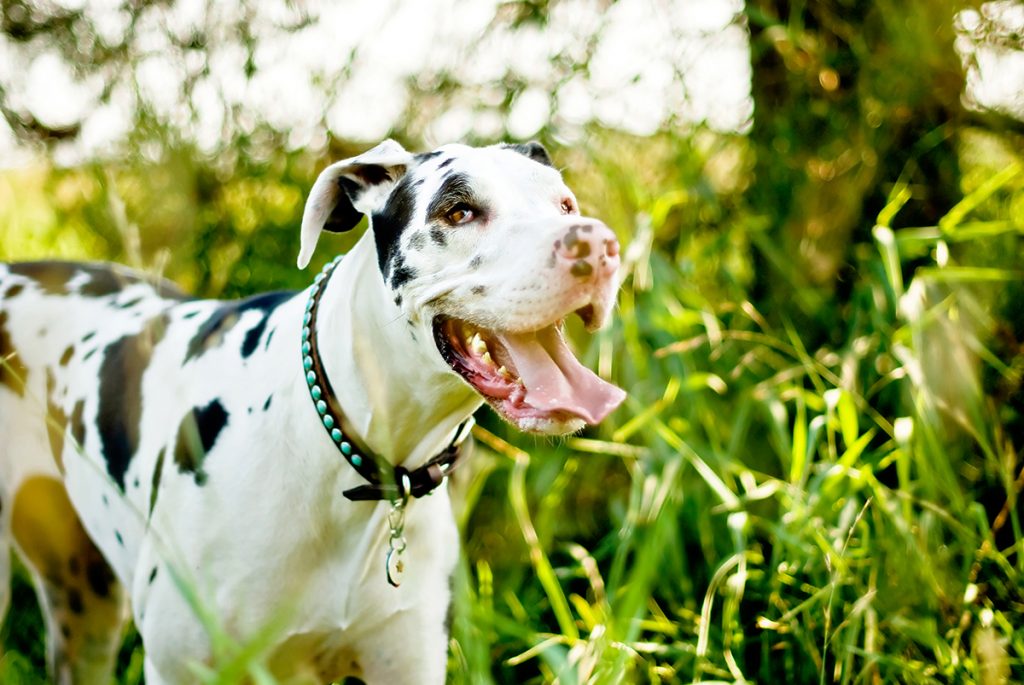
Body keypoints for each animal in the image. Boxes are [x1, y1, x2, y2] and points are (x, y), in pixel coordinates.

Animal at [0, 140, 622, 683]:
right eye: (459, 210)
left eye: (565, 205)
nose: (597, 244)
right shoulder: (183, 668)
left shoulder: (407, 663)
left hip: (85, 605)